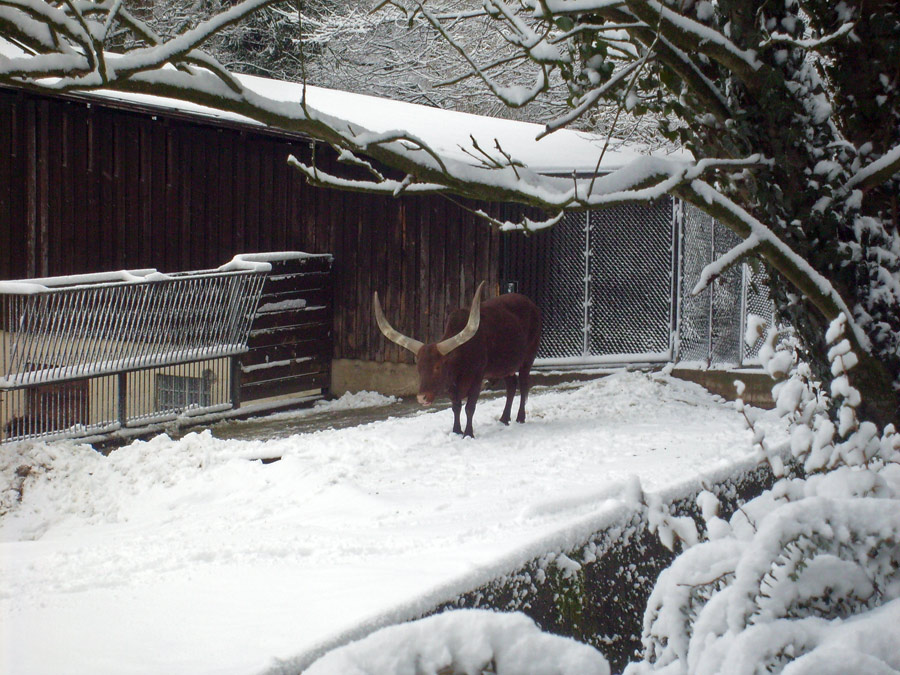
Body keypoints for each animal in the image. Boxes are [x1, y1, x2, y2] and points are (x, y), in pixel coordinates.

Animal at [372, 282, 540, 436]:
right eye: (418, 368)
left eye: (438, 366)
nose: (421, 397)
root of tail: (530, 303)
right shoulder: (451, 384)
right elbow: (456, 407)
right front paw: (456, 431)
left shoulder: (477, 377)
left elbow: (470, 407)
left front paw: (468, 434)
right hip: (506, 366)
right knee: (511, 386)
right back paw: (504, 419)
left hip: (528, 359)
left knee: (523, 385)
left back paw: (520, 418)